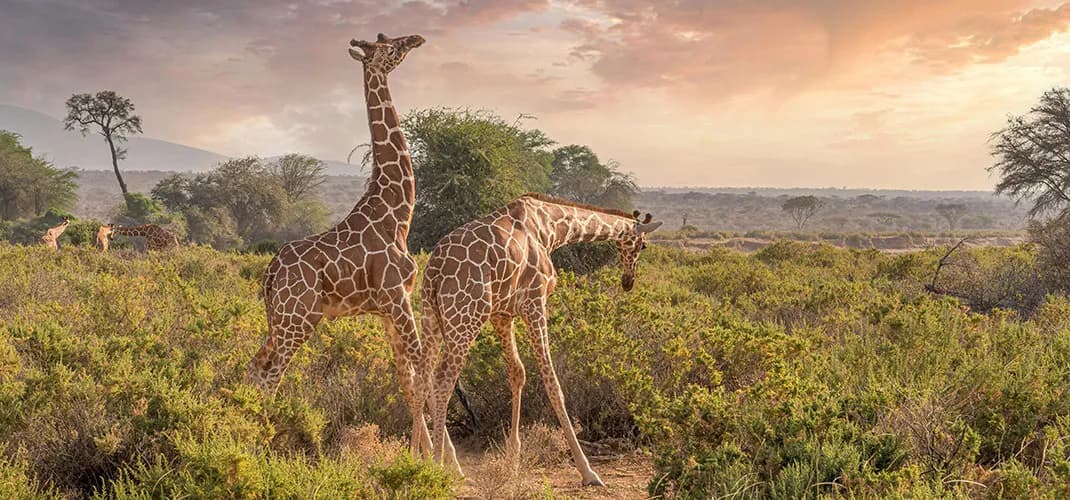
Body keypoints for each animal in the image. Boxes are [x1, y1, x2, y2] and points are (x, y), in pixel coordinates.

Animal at [246, 33, 437, 455]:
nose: (417, 38)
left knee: (255, 365)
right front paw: (438, 459)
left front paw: (424, 454)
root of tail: (270, 273)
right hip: (298, 320)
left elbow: (407, 380)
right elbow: (423, 367)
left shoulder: (386, 310)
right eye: (390, 46)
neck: (397, 214)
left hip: (280, 319)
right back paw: (259, 446)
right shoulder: (398, 298)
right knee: (271, 374)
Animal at [418, 193, 663, 486]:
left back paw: (418, 459)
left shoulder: (502, 313)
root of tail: (434, 271)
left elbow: (517, 372)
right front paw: (587, 471)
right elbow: (552, 383)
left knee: (421, 377)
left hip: (431, 316)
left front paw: (513, 459)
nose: (628, 281)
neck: (551, 228)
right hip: (466, 316)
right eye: (644, 245)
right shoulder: (535, 302)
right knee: (442, 379)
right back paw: (439, 466)